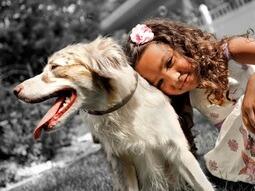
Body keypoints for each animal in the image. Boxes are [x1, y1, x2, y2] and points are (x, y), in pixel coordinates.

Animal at [13, 36, 213, 190]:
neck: (121, 110)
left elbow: (203, 185)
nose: (15, 90)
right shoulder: (122, 163)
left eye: (55, 67)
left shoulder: (178, 151)